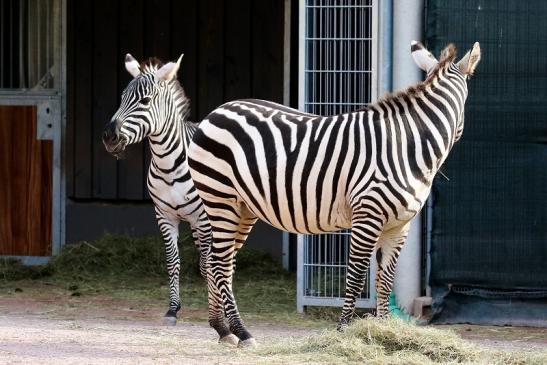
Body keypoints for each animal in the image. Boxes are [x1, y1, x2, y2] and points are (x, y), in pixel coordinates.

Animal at [101, 53, 213, 324]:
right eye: (122, 98)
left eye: (145, 101)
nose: (109, 136)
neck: (168, 165)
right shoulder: (165, 216)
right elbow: (173, 262)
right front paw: (173, 309)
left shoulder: (203, 218)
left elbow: (207, 264)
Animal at [189, 40, 484, 344]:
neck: (408, 145)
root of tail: (216, 111)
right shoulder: (368, 215)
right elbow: (356, 276)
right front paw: (343, 330)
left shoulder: (399, 226)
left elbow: (385, 280)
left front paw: (384, 330)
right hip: (220, 198)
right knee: (220, 263)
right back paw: (241, 331)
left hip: (243, 207)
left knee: (216, 262)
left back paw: (222, 328)